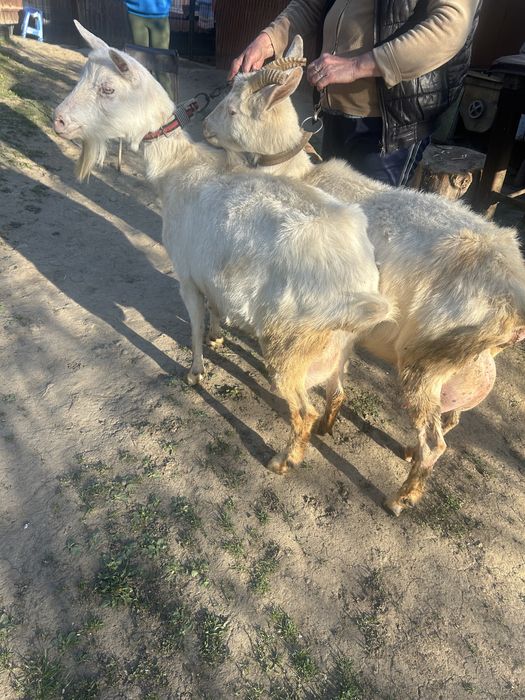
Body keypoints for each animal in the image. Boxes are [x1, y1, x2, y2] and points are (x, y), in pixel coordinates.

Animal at [53, 22, 391, 474]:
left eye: (107, 89)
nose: (58, 120)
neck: (178, 170)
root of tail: (362, 287)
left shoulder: (185, 275)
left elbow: (194, 324)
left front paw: (195, 372)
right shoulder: (211, 273)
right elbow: (213, 311)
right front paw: (217, 337)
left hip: (292, 348)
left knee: (303, 410)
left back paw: (283, 460)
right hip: (337, 352)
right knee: (337, 394)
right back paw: (324, 431)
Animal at [203, 36, 525, 515]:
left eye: (233, 110)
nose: (204, 127)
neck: (298, 175)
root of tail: (512, 300)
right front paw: (325, 424)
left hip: (426, 362)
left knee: (436, 442)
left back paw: (401, 497)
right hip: (463, 365)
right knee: (451, 418)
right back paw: (408, 454)